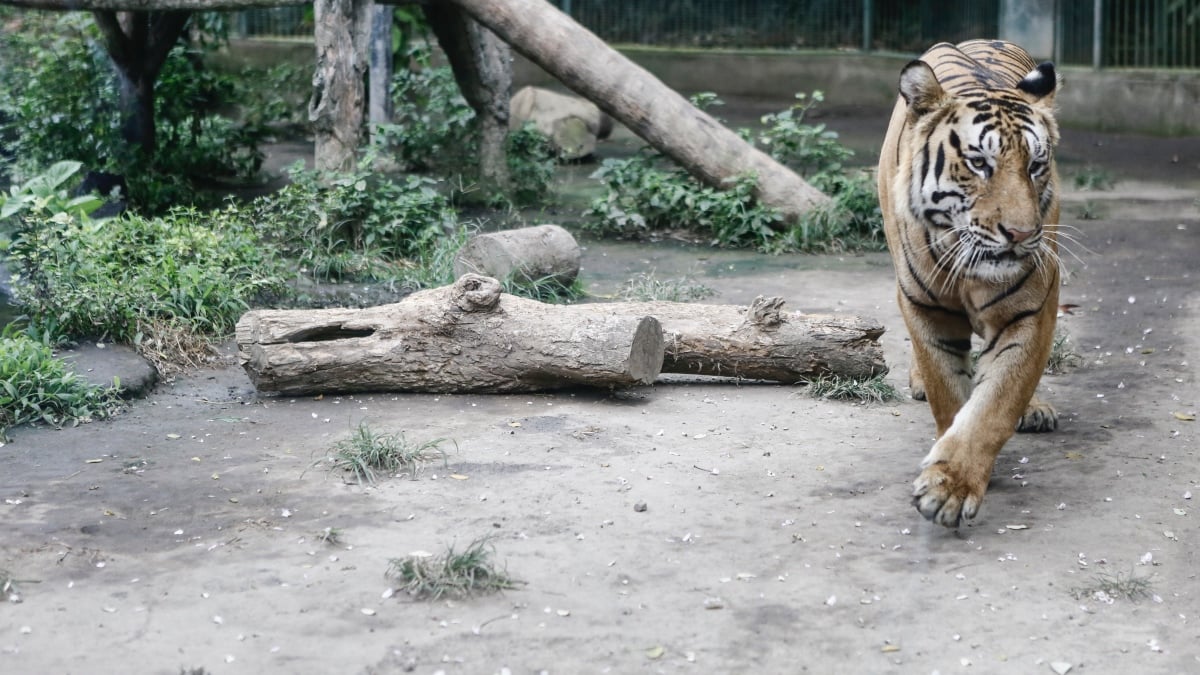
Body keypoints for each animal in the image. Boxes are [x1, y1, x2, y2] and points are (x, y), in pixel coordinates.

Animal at [878, 40, 1065, 526]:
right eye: (980, 164)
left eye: (1036, 165)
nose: (1020, 234)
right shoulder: (927, 309)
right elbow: (949, 393)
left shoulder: (1031, 311)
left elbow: (995, 404)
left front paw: (951, 486)